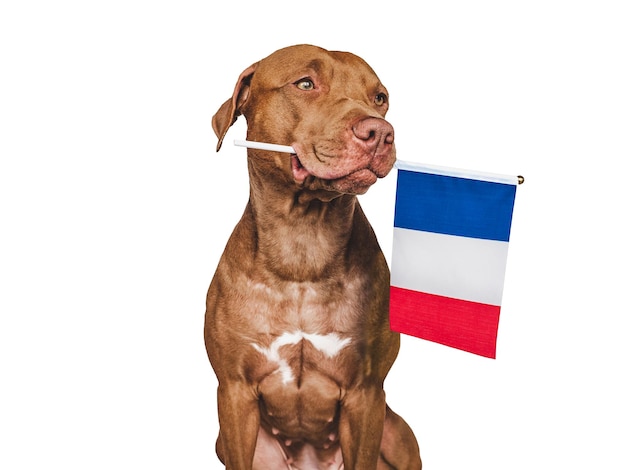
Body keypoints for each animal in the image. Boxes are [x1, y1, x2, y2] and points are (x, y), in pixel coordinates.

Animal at [206, 44, 420, 470]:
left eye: (380, 98)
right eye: (305, 84)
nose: (380, 132)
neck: (303, 246)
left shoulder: (366, 394)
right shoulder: (234, 393)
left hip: (398, 434)